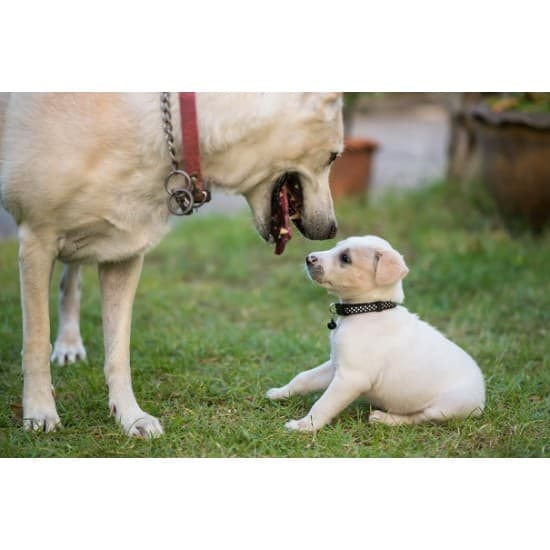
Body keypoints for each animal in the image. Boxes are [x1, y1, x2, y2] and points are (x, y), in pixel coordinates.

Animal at [0, 94, 344, 440]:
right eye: (333, 156)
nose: (332, 229)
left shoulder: (122, 250)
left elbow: (118, 350)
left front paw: (131, 417)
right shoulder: (38, 240)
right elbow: (36, 341)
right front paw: (40, 412)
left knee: (71, 280)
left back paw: (69, 342)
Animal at [268, 235, 488, 434]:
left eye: (345, 258)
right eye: (337, 245)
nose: (309, 258)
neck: (369, 309)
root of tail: (482, 397)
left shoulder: (351, 378)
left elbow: (323, 405)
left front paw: (304, 426)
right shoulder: (335, 366)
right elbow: (303, 378)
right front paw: (279, 393)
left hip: (446, 407)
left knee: (419, 417)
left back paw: (385, 419)